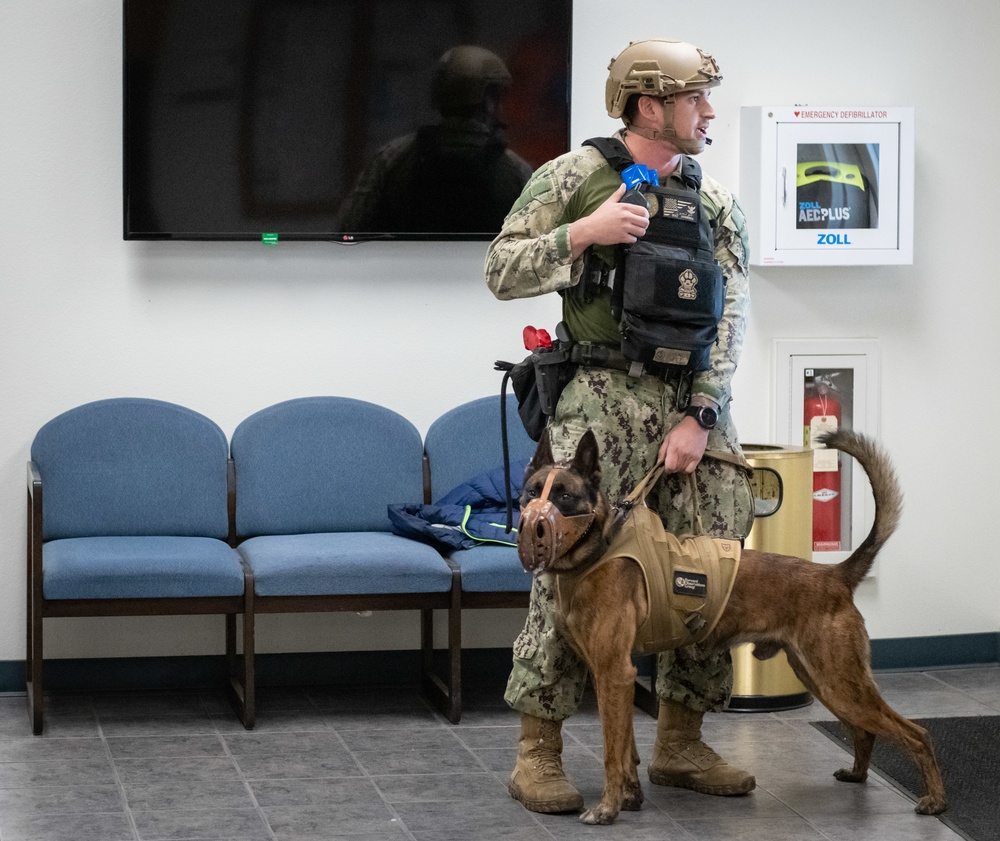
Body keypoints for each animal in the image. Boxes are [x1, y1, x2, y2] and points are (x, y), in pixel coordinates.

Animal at [520, 430, 948, 824]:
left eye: (564, 497)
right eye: (530, 493)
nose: (534, 526)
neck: (600, 548)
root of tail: (834, 575)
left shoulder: (614, 674)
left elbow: (613, 752)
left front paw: (608, 809)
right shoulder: (610, 678)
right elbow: (626, 751)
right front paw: (629, 797)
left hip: (839, 682)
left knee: (917, 734)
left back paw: (935, 800)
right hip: (823, 680)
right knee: (865, 730)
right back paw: (859, 775)